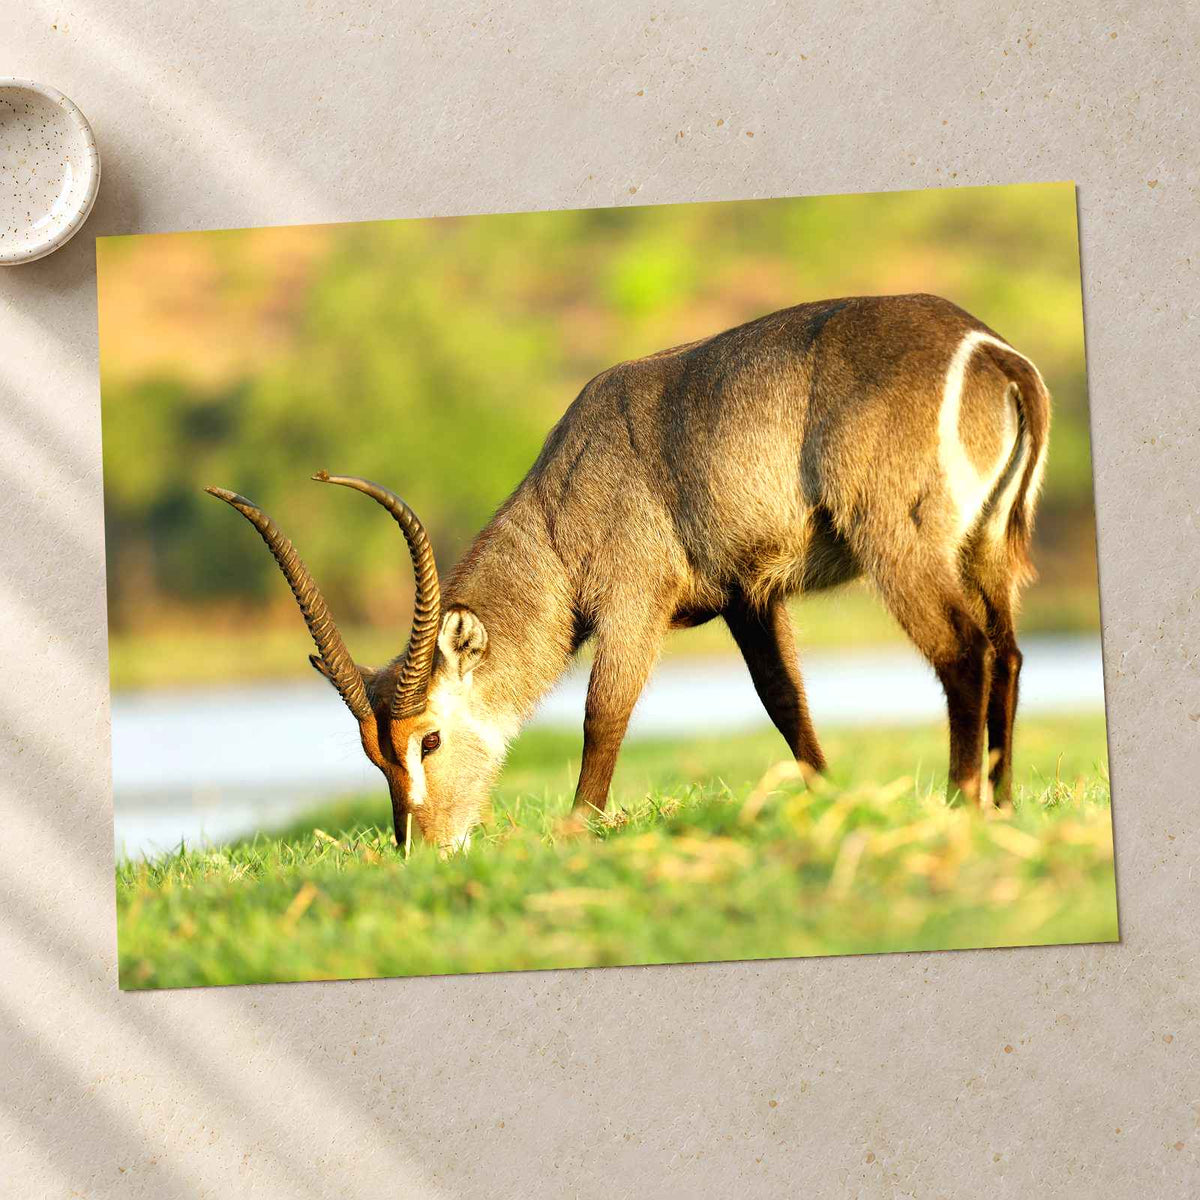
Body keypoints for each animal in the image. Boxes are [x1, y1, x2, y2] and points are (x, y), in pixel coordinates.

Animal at [208, 293, 1049, 853]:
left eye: (430, 739)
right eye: (372, 753)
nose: (419, 852)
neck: (561, 502)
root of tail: (990, 350)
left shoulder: (634, 605)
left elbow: (602, 714)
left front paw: (577, 826)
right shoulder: (750, 597)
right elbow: (784, 703)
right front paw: (824, 794)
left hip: (902, 545)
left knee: (961, 652)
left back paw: (962, 802)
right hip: (986, 549)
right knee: (1005, 652)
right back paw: (1004, 803)